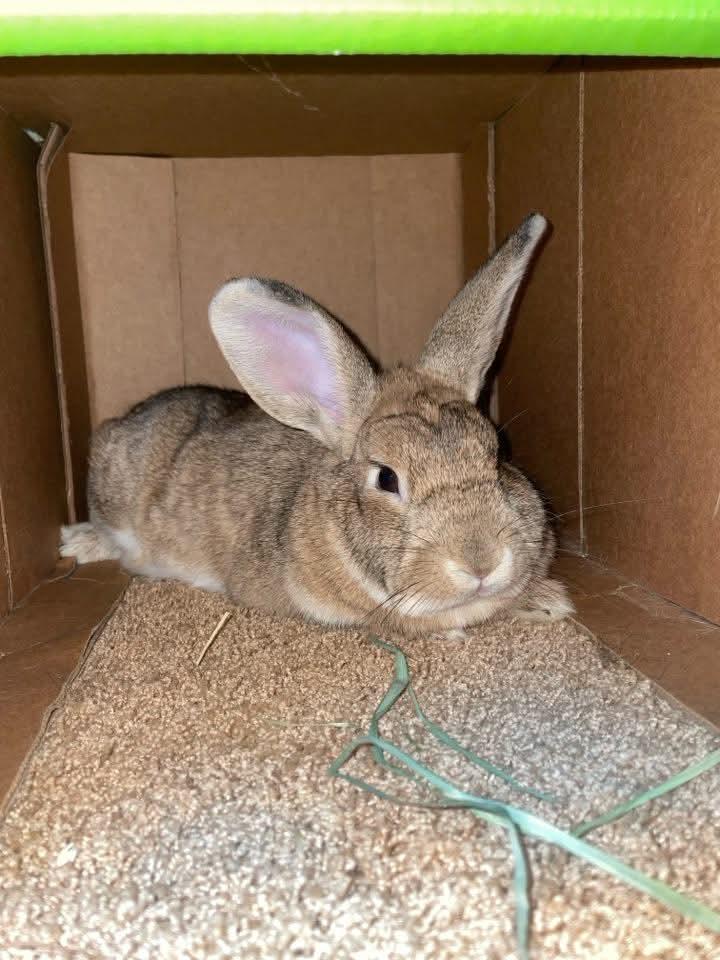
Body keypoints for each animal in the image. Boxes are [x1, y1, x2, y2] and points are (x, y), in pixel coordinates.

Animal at [60, 213, 573, 638]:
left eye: (498, 454)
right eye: (387, 478)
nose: (481, 560)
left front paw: (551, 602)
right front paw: (455, 631)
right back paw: (79, 542)